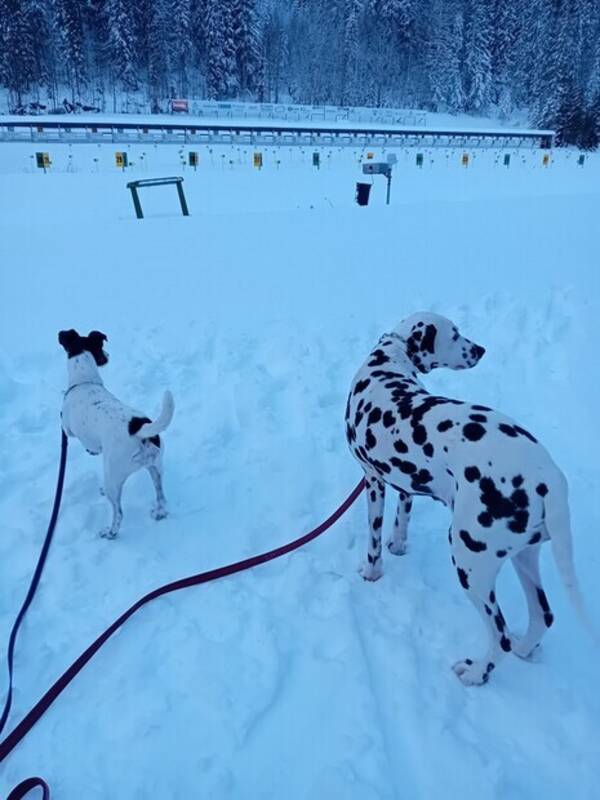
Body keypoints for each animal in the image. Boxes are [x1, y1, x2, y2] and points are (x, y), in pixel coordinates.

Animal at [59, 328, 175, 540]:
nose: (108, 355)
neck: (84, 382)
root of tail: (138, 428)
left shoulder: (68, 429)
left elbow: (76, 437)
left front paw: (91, 450)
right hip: (156, 467)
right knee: (161, 497)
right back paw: (159, 512)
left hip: (113, 476)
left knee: (119, 513)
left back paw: (110, 532)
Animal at [344, 312, 588, 688]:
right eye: (455, 333)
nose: (481, 349)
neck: (391, 359)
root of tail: (549, 477)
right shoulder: (404, 482)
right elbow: (402, 519)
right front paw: (398, 546)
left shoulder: (373, 479)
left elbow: (373, 540)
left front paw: (371, 573)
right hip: (524, 556)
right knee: (542, 616)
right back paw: (524, 648)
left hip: (470, 560)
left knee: (499, 636)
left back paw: (475, 673)